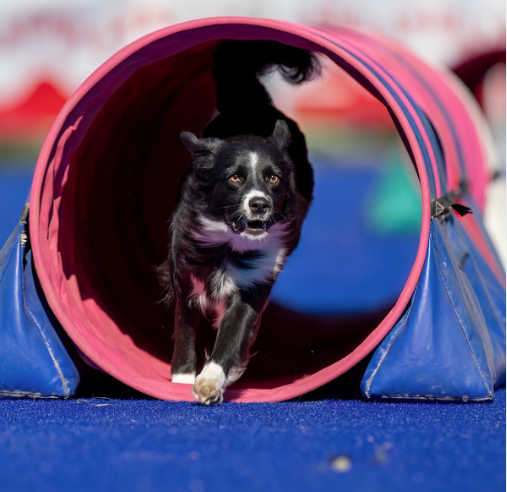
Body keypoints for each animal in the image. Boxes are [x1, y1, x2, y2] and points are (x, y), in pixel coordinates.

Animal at [163, 41, 320, 404]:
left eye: (274, 178)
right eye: (235, 178)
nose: (260, 204)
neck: (229, 243)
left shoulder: (255, 281)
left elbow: (234, 330)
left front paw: (212, 380)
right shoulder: (186, 272)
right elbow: (184, 327)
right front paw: (181, 378)